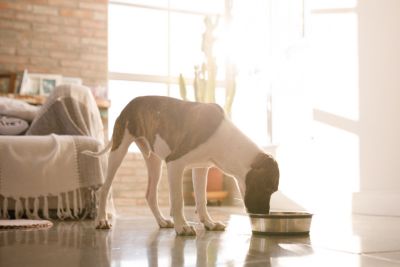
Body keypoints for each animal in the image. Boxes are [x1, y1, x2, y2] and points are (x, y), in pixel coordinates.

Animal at [85, 97, 278, 237]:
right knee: (104, 189)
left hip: (154, 161)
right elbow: (178, 200)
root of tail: (129, 104)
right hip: (119, 150)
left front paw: (209, 223)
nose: (264, 214)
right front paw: (183, 226)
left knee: (150, 194)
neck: (226, 141)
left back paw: (162, 221)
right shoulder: (175, 163)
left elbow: (201, 199)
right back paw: (101, 220)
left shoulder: (201, 168)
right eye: (269, 188)